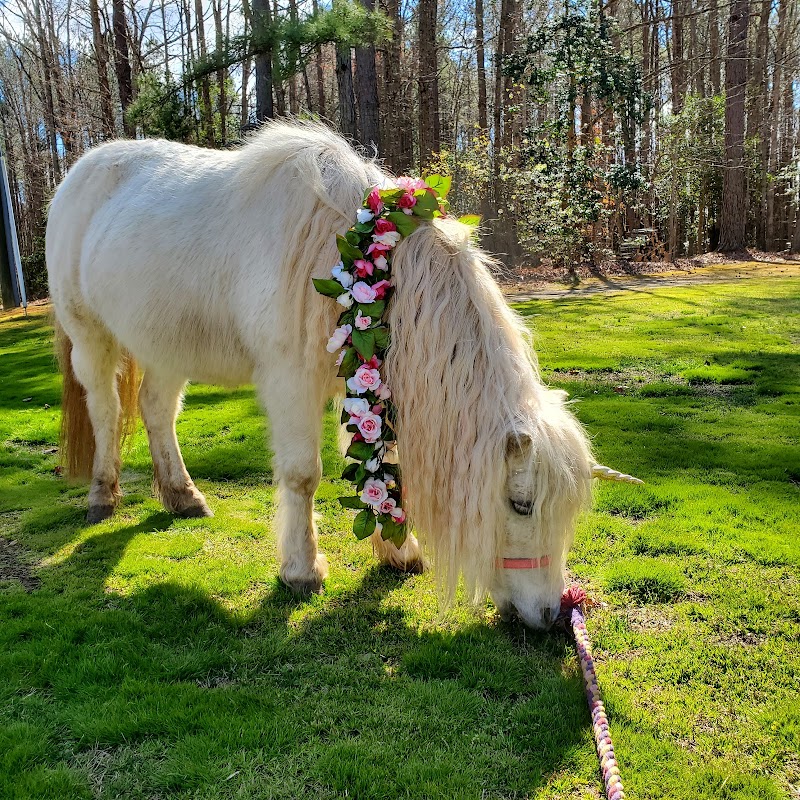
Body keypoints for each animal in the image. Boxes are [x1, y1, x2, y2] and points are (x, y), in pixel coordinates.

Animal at [46, 121, 625, 629]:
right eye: (521, 505)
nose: (551, 615)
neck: (350, 250)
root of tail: (80, 172)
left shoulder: (365, 383)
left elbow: (385, 469)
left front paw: (399, 552)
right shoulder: (291, 384)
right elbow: (304, 476)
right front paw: (302, 571)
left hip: (167, 348)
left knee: (156, 411)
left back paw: (183, 496)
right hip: (90, 336)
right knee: (106, 412)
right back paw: (102, 495)